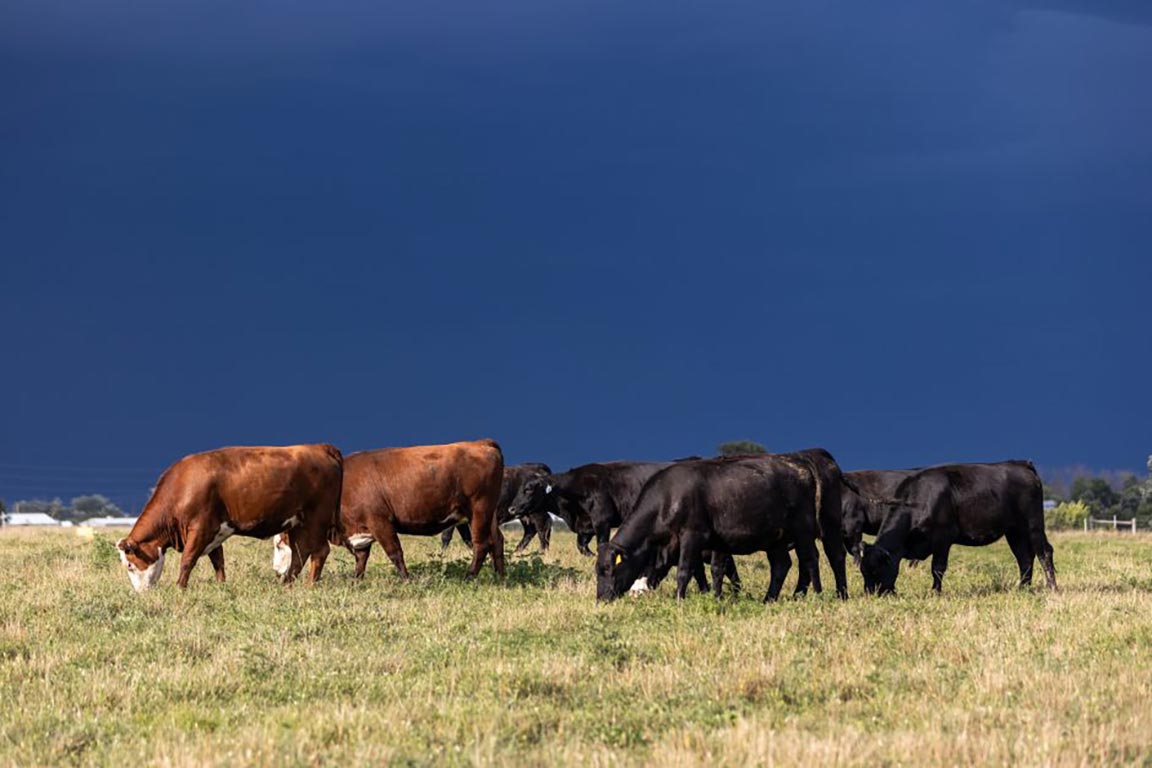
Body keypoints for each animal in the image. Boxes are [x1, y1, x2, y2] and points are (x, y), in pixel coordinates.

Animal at [116, 444, 343, 592]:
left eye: (130, 565)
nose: (140, 593)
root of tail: (320, 447)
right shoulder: (214, 532)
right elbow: (218, 561)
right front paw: (221, 586)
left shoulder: (201, 528)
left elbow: (187, 560)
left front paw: (180, 588)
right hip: (296, 522)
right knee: (299, 554)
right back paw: (286, 585)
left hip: (317, 518)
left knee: (319, 551)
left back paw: (309, 585)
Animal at [273, 439, 505, 581]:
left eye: (280, 543)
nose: (276, 571)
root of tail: (481, 443)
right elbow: (361, 558)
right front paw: (356, 581)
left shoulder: (380, 521)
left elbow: (395, 552)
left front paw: (406, 580)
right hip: (489, 513)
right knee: (497, 540)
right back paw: (500, 577)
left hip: (479, 509)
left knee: (481, 544)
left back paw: (469, 577)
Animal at [596, 455, 822, 602]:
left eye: (608, 569)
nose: (601, 599)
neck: (669, 497)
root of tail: (800, 467)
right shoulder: (714, 542)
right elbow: (713, 571)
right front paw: (714, 597)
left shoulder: (692, 535)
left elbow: (685, 570)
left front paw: (679, 600)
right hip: (775, 539)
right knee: (781, 565)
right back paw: (769, 599)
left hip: (803, 529)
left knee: (810, 560)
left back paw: (816, 595)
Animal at [859, 460, 1057, 595]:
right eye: (863, 571)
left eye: (876, 570)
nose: (870, 595)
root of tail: (1021, 464)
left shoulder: (942, 539)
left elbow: (937, 568)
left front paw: (935, 592)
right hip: (1014, 531)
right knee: (1024, 558)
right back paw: (1023, 588)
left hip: (1033, 524)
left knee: (1044, 552)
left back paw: (1051, 587)